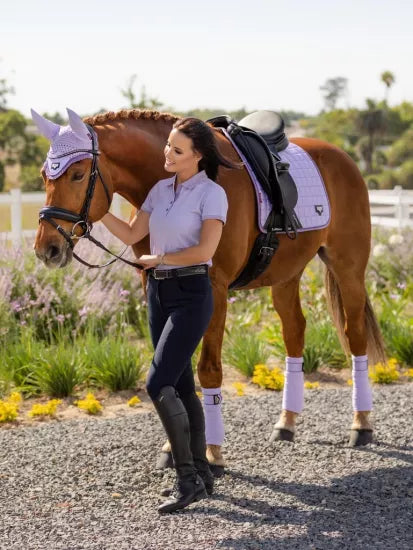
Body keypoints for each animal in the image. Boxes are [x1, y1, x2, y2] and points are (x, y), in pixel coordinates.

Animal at [33, 109, 384, 474]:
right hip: (286, 275)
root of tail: (343, 157)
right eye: (45, 175)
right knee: (295, 333)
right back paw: (286, 423)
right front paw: (173, 449)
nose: (47, 248)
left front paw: (213, 453)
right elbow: (172, 365)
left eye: (77, 174)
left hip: (348, 268)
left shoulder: (214, 288)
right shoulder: (154, 284)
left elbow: (208, 370)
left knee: (355, 335)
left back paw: (361, 425)